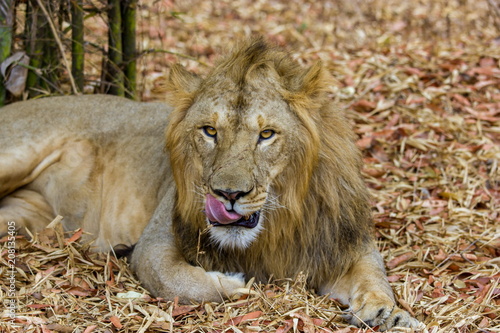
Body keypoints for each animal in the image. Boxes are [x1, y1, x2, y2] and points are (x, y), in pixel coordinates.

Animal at [0, 39, 420, 330]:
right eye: (209, 131)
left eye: (267, 134)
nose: (228, 194)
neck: (276, 225)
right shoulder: (156, 242)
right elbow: (176, 279)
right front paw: (235, 283)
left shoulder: (338, 242)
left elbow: (374, 274)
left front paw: (388, 313)